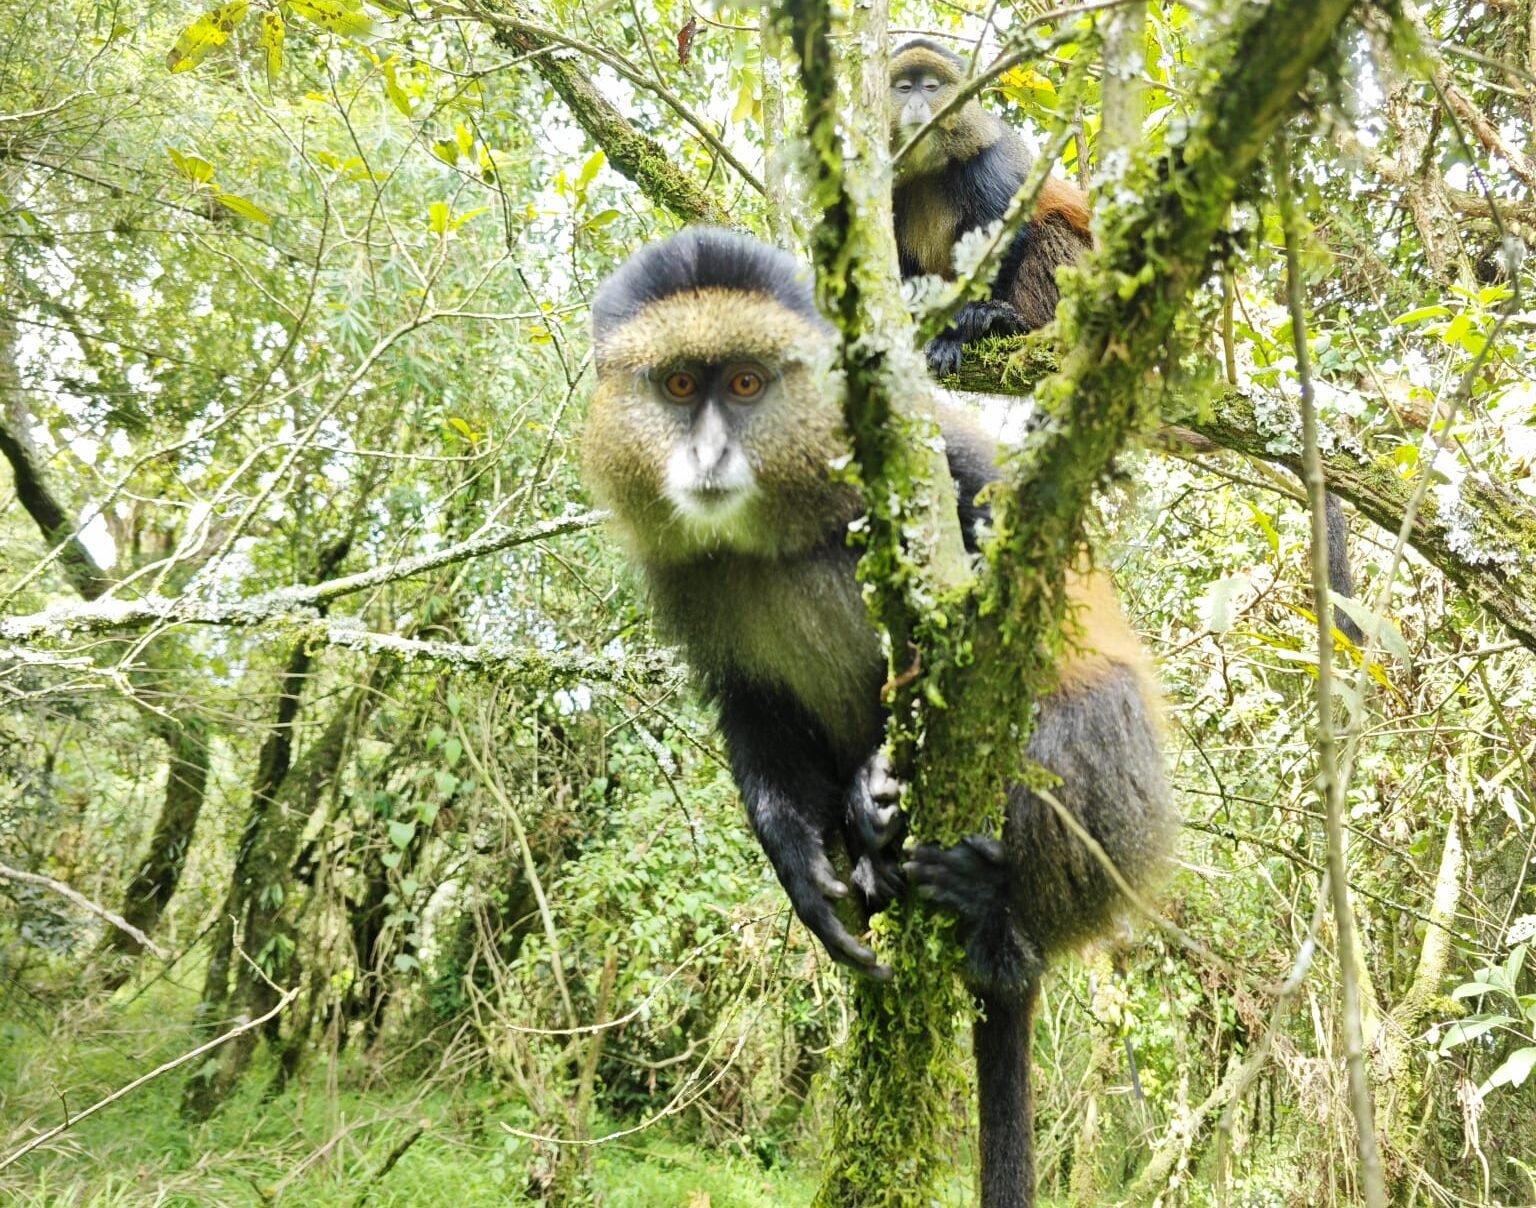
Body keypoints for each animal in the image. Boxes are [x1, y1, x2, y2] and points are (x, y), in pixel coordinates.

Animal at [582, 226, 1175, 1208]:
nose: (706, 458)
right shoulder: (685, 583)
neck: (773, 532)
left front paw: (878, 787)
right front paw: (805, 865)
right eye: (679, 385)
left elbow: (1010, 609)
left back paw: (992, 916)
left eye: (746, 385)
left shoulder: (934, 464)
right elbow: (755, 710)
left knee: (1073, 720)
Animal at [890, 38, 1094, 377]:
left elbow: (1003, 238)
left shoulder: (986, 159)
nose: (916, 105)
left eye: (931, 86)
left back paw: (1010, 322)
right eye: (904, 88)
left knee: (1049, 228)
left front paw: (960, 329)